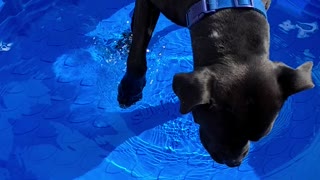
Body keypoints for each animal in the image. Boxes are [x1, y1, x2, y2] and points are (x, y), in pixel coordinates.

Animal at [116, 0, 314, 167]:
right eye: (220, 134)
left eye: (258, 137)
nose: (234, 163)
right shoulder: (148, 4)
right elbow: (139, 43)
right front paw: (131, 85)